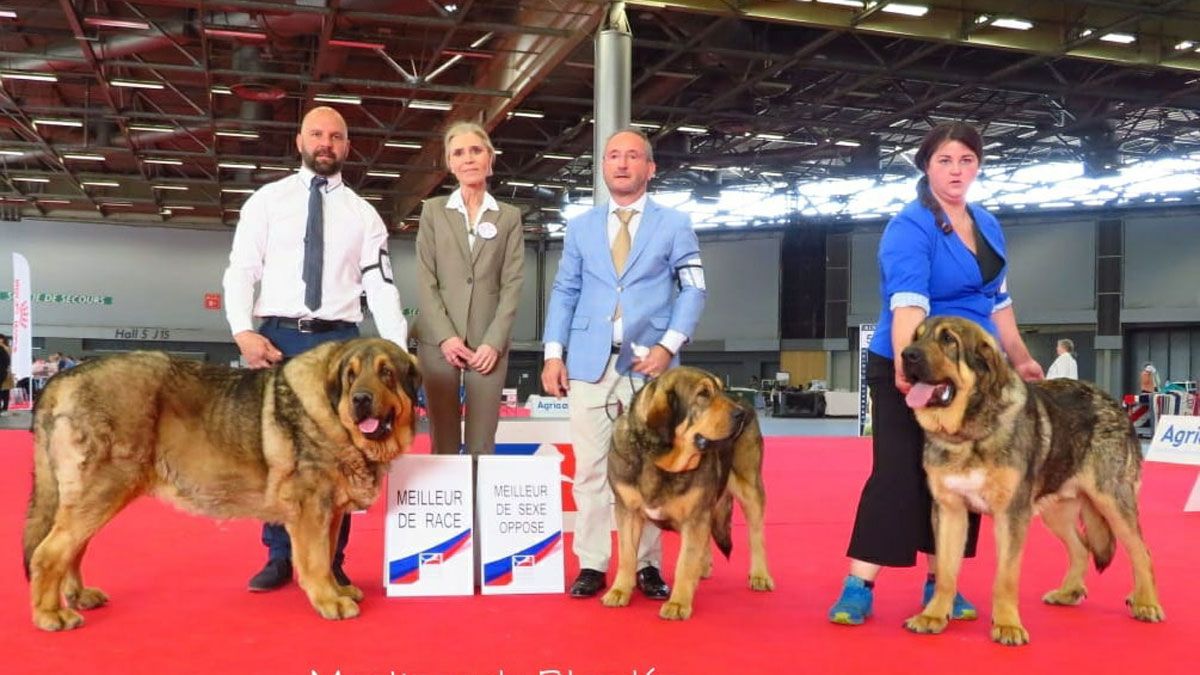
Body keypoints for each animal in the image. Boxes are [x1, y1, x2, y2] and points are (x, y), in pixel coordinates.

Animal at [22, 338, 422, 629]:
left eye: (387, 373)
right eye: (351, 376)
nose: (360, 400)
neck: (333, 411)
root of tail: (61, 380)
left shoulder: (332, 510)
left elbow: (328, 553)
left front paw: (339, 589)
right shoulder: (312, 508)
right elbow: (316, 560)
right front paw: (329, 600)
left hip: (93, 497)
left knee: (72, 549)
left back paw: (79, 596)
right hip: (102, 489)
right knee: (48, 553)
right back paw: (50, 615)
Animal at [902, 317, 1161, 643]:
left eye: (949, 340)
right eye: (916, 336)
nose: (906, 355)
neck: (969, 431)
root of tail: (1114, 403)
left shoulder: (1011, 515)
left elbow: (1006, 578)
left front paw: (1007, 625)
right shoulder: (950, 511)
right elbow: (946, 573)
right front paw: (933, 616)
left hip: (1112, 501)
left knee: (1141, 552)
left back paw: (1146, 603)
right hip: (1056, 510)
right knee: (1082, 548)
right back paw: (1068, 592)